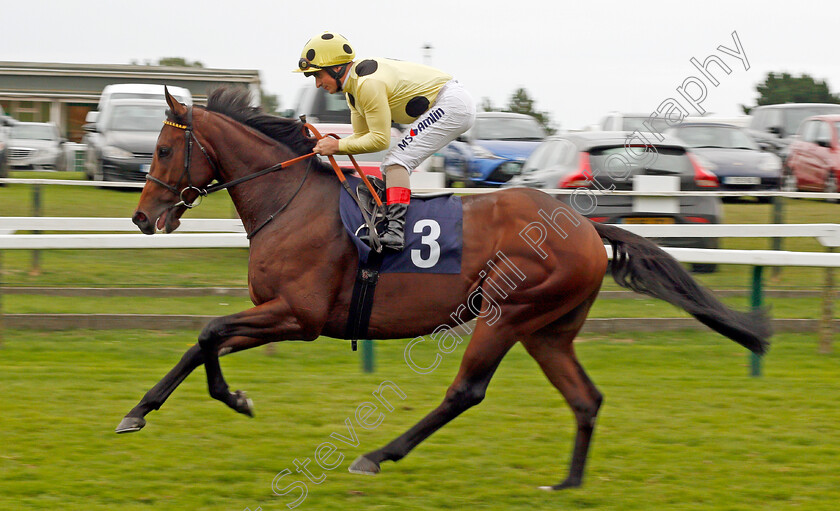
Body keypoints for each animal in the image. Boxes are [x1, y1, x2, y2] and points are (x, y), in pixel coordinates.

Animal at [121, 88, 772, 492]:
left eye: (162, 149)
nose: (142, 218)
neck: (291, 202)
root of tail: (586, 227)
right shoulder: (273, 312)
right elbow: (202, 342)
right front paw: (144, 410)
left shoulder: (298, 316)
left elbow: (209, 332)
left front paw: (231, 398)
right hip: (549, 331)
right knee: (585, 399)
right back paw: (568, 482)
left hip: (508, 313)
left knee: (466, 391)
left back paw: (376, 455)